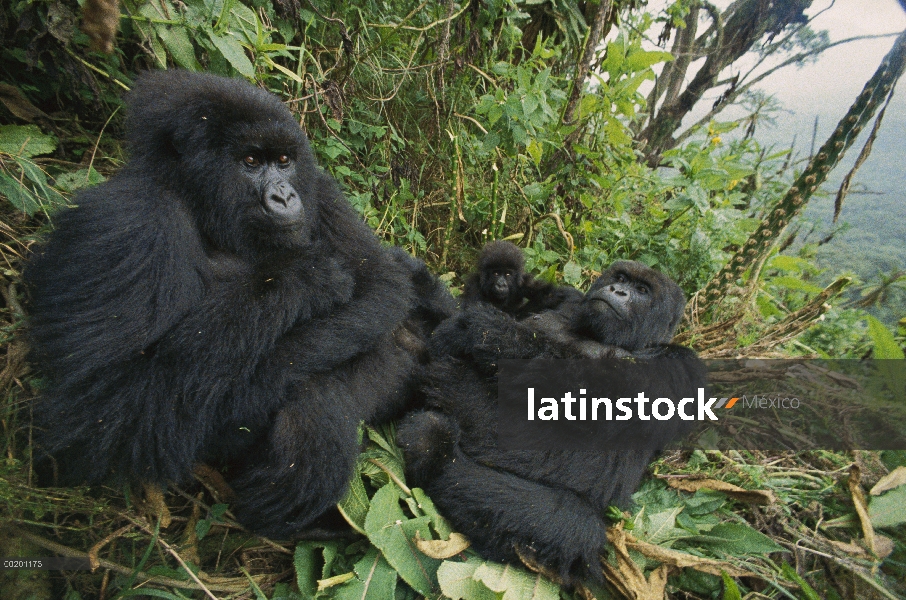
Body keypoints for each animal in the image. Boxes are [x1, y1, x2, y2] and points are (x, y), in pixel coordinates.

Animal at [25, 71, 452, 540]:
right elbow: (112, 407)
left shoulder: (319, 187)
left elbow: (381, 285)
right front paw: (303, 278)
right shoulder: (129, 220)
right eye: (250, 161)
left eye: (283, 160)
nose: (284, 197)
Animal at [398, 260, 708, 584]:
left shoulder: (681, 366)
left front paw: (491, 332)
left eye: (642, 290)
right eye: (621, 278)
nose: (618, 290)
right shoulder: (566, 297)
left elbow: (593, 404)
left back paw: (434, 450)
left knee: (574, 527)